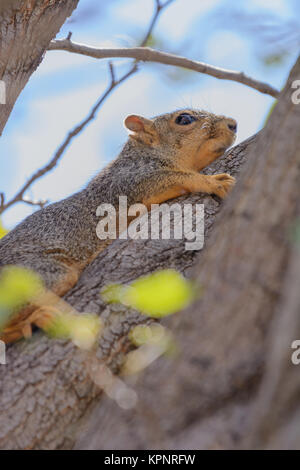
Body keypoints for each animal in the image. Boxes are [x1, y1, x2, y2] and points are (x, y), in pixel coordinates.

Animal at [0, 107, 237, 342]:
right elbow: (177, 177)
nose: (233, 124)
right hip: (35, 273)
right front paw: (213, 181)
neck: (144, 155)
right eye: (184, 119)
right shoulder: (126, 183)